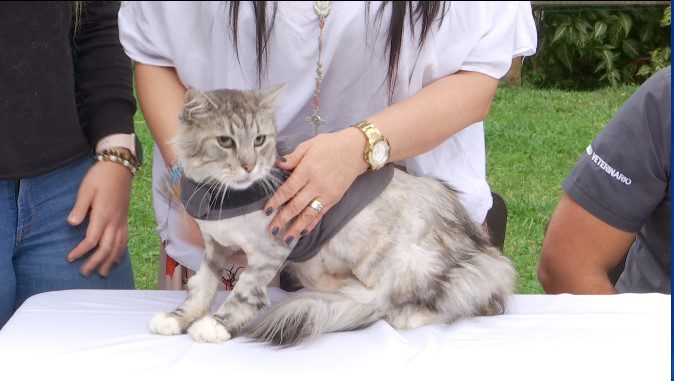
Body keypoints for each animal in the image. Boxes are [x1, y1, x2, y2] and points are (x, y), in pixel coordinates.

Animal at [148, 86, 516, 344]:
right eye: (225, 141)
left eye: (259, 140)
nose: (249, 166)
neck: (218, 194)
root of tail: (483, 250)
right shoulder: (216, 246)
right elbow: (202, 287)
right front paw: (178, 318)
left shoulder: (272, 248)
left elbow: (243, 293)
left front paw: (214, 326)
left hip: (411, 263)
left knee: (458, 302)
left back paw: (407, 316)